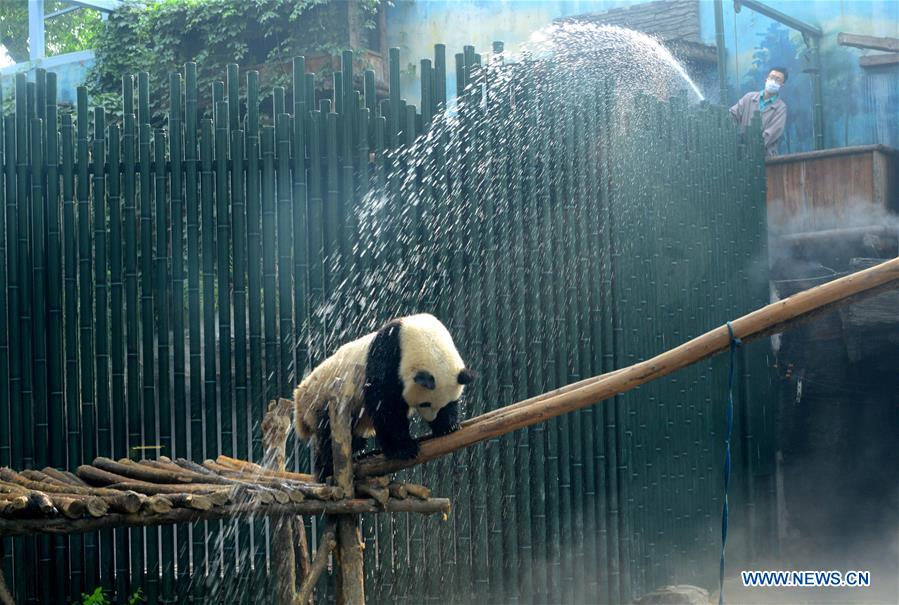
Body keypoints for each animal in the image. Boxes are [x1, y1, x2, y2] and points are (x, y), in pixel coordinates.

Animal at [296, 314, 478, 478]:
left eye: (444, 404)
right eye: (425, 403)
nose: (432, 418)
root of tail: (299, 394)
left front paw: (447, 426)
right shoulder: (387, 355)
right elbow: (385, 405)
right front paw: (402, 448)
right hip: (324, 399)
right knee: (327, 435)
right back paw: (328, 469)